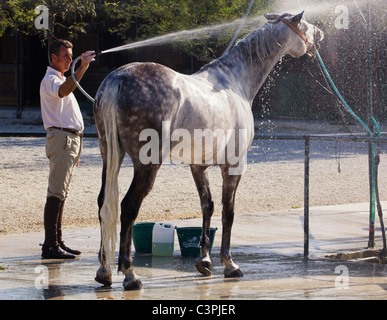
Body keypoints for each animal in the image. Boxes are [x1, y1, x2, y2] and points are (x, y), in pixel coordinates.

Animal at [93, 11, 324, 290]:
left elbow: (208, 206)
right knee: (128, 207)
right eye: (304, 25)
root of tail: (117, 78)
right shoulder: (234, 166)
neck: (234, 82)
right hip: (146, 165)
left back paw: (104, 272)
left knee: (104, 204)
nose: (320, 35)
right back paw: (130, 275)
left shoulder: (198, 165)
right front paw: (229, 264)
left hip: (109, 157)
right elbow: (228, 212)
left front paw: (204, 261)